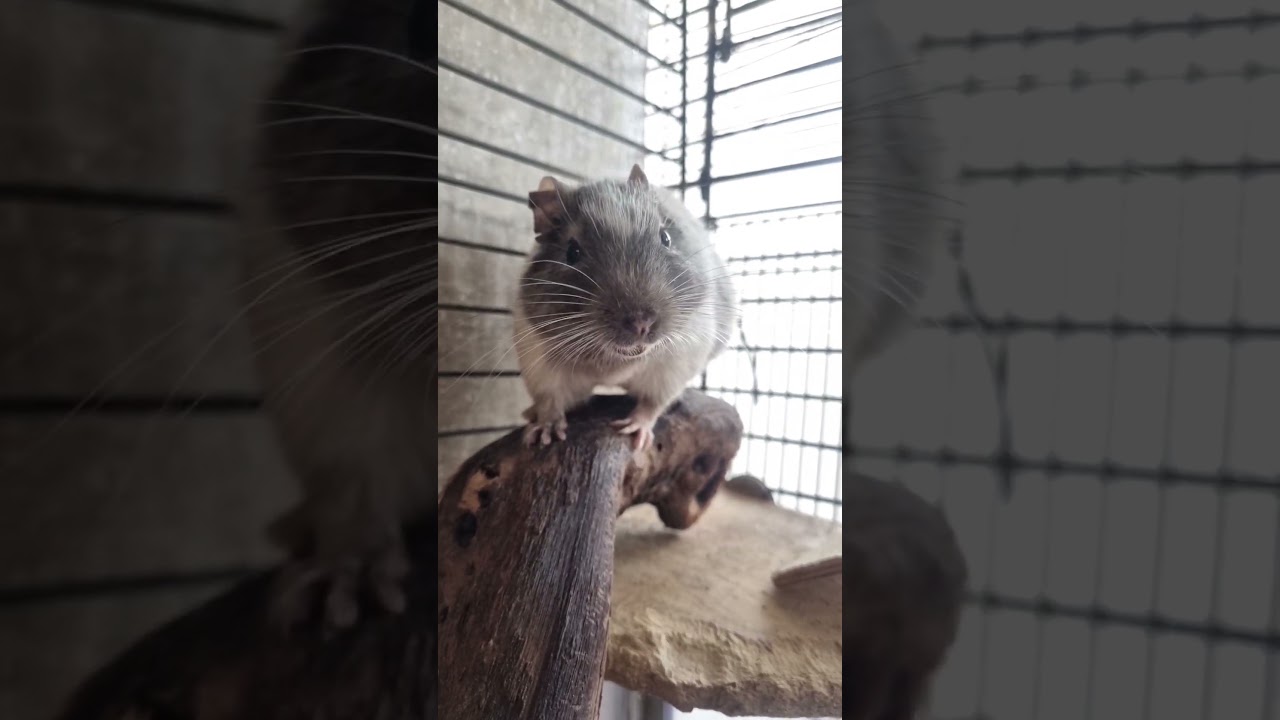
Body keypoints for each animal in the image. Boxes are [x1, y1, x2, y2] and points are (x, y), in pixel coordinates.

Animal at [513, 165, 737, 450]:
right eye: (572, 252)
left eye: (665, 238)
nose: (642, 324)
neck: (616, 365)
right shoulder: (539, 362)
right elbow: (550, 400)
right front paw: (545, 431)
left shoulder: (675, 365)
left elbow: (653, 403)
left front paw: (634, 429)